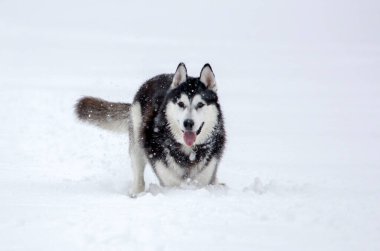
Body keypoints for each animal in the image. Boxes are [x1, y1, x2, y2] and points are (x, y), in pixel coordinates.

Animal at [75, 63, 227, 196]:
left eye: (200, 104)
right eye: (181, 104)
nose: (188, 123)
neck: (187, 152)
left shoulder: (204, 177)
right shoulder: (169, 182)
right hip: (136, 145)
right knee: (139, 176)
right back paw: (136, 193)